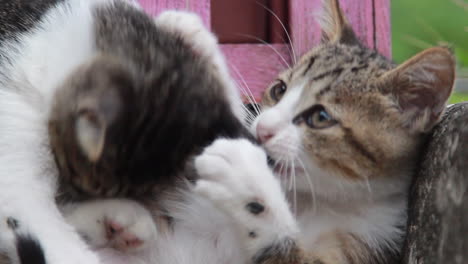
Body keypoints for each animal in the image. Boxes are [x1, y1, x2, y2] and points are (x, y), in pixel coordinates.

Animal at [56, 0, 456, 264]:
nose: (264, 130)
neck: (308, 200)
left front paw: (248, 182)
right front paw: (196, 42)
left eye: (320, 116)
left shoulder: (371, 246)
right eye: (279, 90)